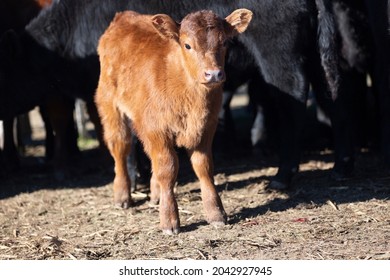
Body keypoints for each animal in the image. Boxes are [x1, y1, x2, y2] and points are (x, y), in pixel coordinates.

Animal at [95, 9, 253, 234]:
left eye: (223, 42)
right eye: (187, 45)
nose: (213, 74)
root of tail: (123, 16)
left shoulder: (206, 127)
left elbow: (204, 167)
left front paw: (216, 213)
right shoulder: (156, 129)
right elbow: (167, 169)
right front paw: (169, 219)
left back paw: (155, 194)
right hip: (110, 106)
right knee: (120, 148)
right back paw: (122, 195)